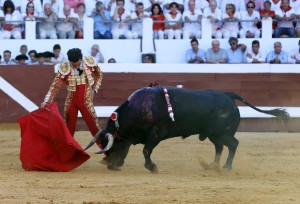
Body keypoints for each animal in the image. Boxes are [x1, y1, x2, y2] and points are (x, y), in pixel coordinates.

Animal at [85, 86, 290, 172]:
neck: (139, 108)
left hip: (222, 133)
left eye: (114, 143)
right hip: (213, 135)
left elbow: (146, 151)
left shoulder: (155, 134)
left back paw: (226, 166)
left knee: (233, 144)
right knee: (220, 147)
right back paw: (212, 165)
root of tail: (228, 95)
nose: (109, 165)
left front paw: (152, 167)